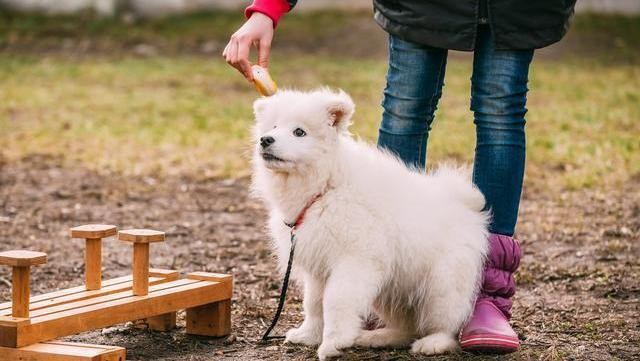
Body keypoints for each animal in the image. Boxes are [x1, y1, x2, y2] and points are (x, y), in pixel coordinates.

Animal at [250, 88, 490, 360]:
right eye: (274, 126)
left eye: (299, 132)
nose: (266, 140)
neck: (327, 186)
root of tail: (465, 205)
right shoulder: (319, 266)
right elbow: (313, 303)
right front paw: (308, 334)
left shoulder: (355, 260)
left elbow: (336, 300)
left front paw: (334, 343)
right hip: (392, 288)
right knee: (407, 327)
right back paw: (378, 337)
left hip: (442, 285)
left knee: (446, 323)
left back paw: (433, 343)